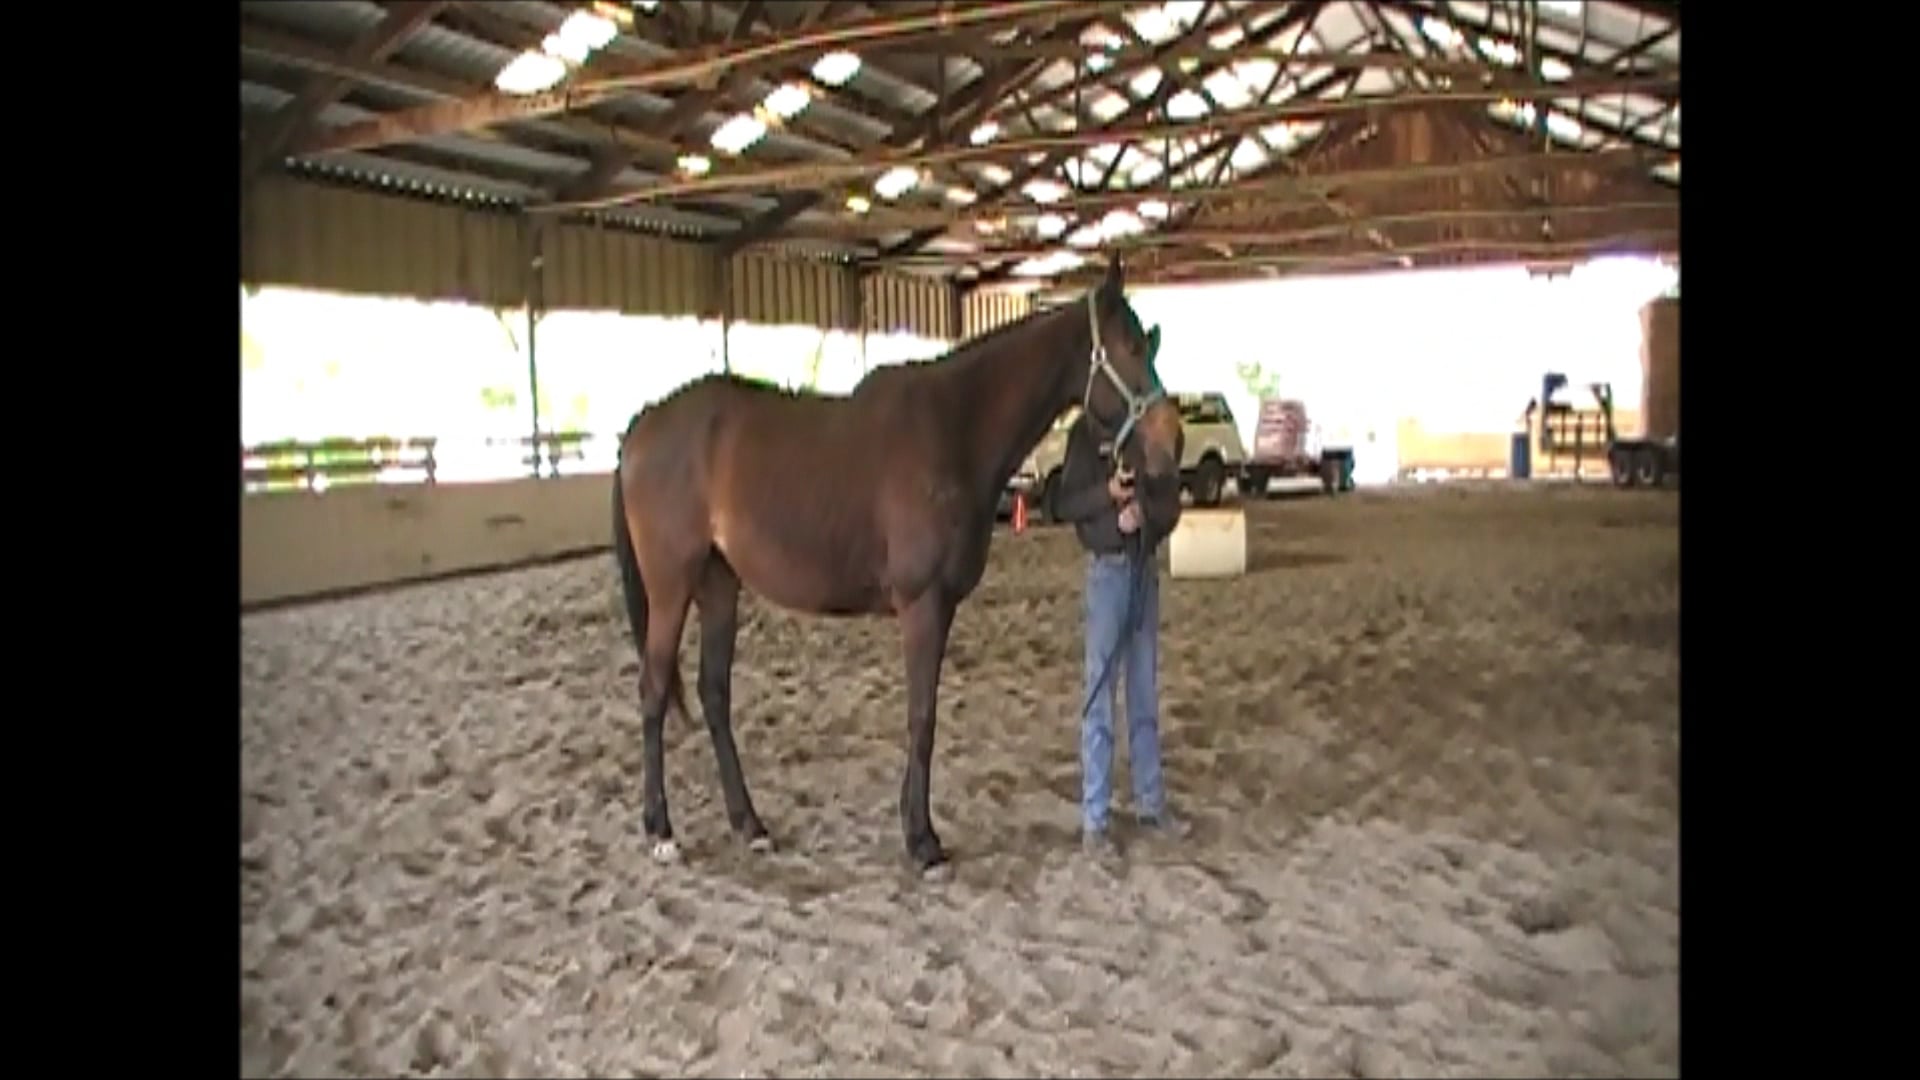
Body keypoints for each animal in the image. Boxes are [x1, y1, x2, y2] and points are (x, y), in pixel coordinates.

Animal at [610, 254, 1182, 874]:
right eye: (1129, 346)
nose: (1171, 441)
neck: (955, 427)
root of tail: (640, 427)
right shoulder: (922, 604)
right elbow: (921, 719)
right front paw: (922, 841)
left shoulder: (941, 607)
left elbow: (923, 716)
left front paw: (915, 828)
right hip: (671, 586)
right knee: (653, 689)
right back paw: (661, 830)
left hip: (719, 583)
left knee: (714, 694)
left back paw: (750, 825)